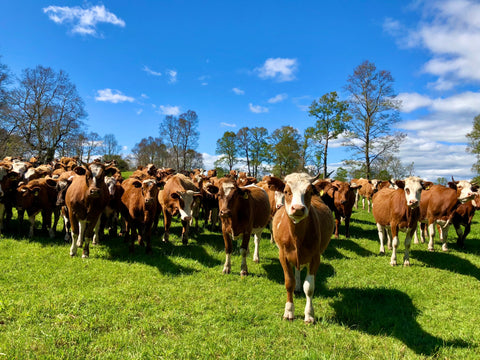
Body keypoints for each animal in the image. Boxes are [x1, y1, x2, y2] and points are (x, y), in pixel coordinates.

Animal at [270, 172, 334, 324]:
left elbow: (309, 287)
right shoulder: (283, 255)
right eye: (286, 191)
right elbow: (289, 283)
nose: (298, 208)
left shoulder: (315, 257)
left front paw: (309, 314)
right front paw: (288, 311)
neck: (296, 236)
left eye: (309, 192)